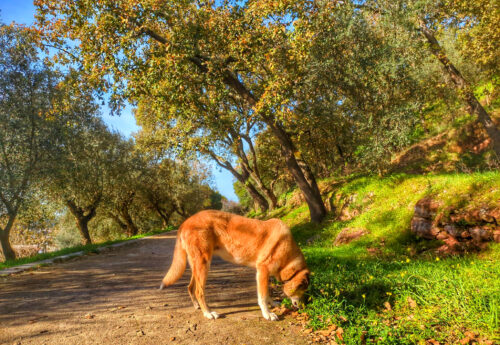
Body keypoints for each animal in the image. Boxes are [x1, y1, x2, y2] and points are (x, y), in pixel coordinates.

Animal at [160, 210, 308, 320]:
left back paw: (197, 306)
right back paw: (208, 313)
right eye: (302, 290)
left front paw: (273, 304)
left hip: (197, 266)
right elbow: (263, 296)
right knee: (199, 291)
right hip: (204, 265)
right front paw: (267, 314)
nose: (302, 307)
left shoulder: (264, 276)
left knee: (190, 287)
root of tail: (185, 222)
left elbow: (267, 294)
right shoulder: (262, 272)